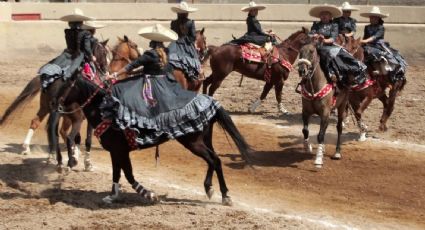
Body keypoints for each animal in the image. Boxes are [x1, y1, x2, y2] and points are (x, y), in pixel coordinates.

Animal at [0, 39, 109, 171]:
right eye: (104, 53)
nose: (106, 70)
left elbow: (76, 137)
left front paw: (75, 156)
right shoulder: (85, 118)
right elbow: (87, 139)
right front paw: (86, 163)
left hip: (47, 108)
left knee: (40, 123)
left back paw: (32, 149)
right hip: (68, 115)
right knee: (61, 132)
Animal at [53, 75, 252, 205]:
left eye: (65, 87)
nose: (54, 105)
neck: (105, 110)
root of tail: (211, 101)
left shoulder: (120, 150)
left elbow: (128, 173)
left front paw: (149, 194)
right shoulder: (115, 151)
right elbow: (118, 173)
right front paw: (113, 195)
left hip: (193, 142)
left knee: (214, 160)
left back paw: (225, 196)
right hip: (203, 140)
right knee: (213, 160)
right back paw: (210, 189)